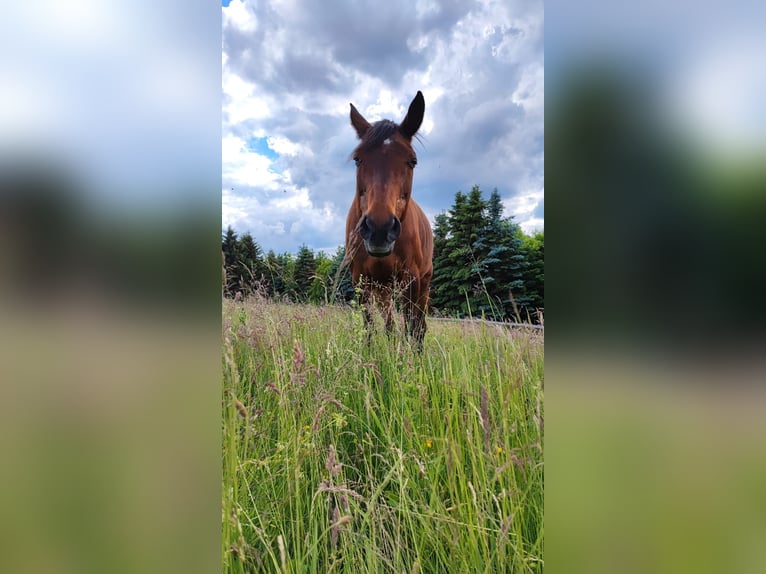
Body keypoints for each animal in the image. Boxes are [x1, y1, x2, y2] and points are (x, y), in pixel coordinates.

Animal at [346, 92, 436, 348]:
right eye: (357, 159)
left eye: (412, 161)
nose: (379, 228)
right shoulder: (362, 282)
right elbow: (371, 328)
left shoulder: (412, 281)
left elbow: (412, 329)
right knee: (389, 324)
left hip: (423, 284)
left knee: (419, 326)